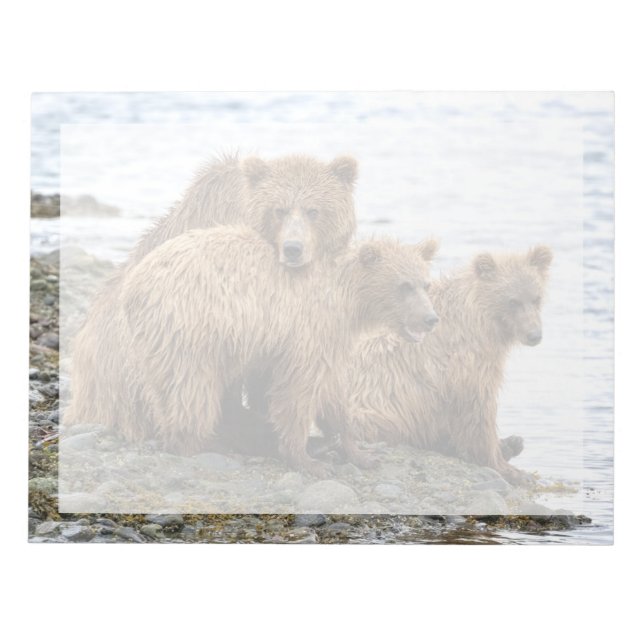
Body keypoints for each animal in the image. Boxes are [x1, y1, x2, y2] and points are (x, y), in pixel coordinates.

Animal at [118, 226, 440, 476]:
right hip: (190, 329)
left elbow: (334, 393)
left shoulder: (331, 340)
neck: (348, 299)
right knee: (192, 389)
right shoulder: (308, 329)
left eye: (425, 284)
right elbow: (298, 390)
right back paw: (205, 443)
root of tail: (132, 285)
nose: (430, 318)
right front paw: (307, 460)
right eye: (404, 285)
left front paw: (360, 453)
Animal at [348, 246, 553, 485]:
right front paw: (512, 470)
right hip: (373, 408)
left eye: (536, 298)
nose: (534, 335)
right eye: (513, 301)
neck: (481, 319)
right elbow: (478, 410)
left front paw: (508, 448)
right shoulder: (465, 363)